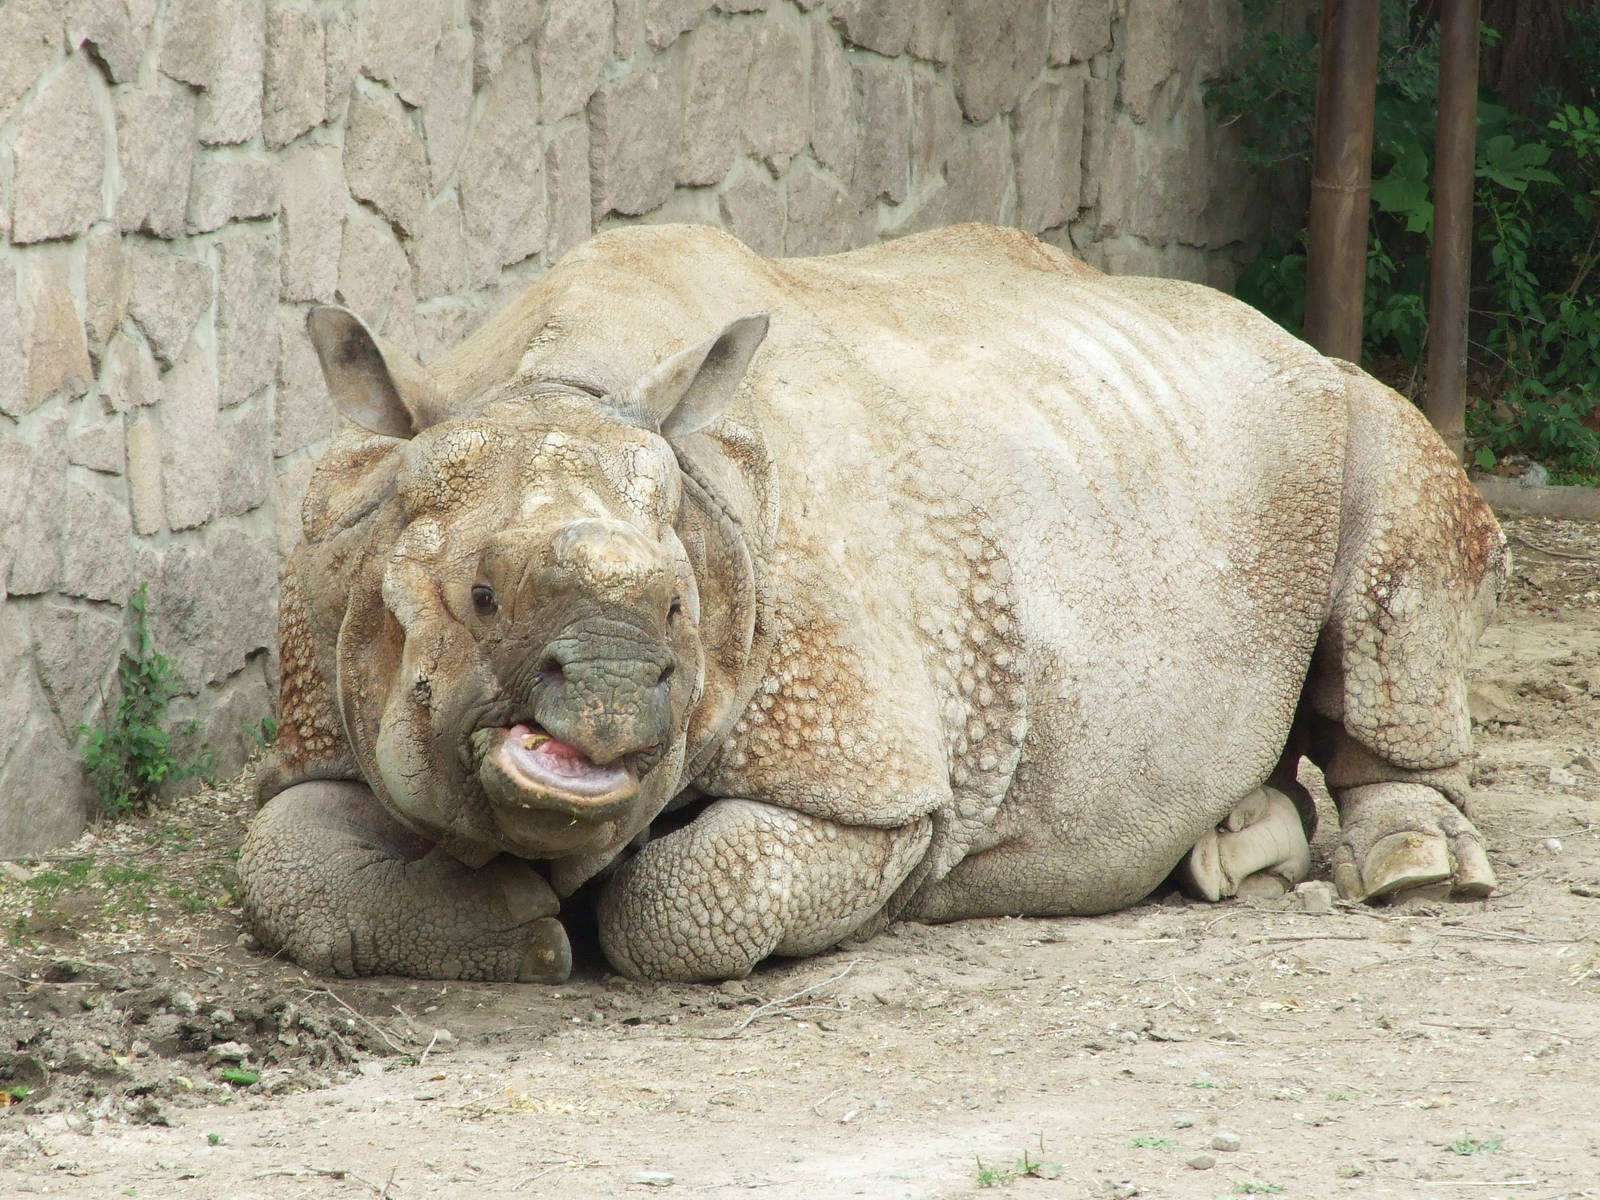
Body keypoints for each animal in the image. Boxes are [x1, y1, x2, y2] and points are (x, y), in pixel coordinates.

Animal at [239, 224, 1505, 984]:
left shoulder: (875, 778)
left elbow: (697, 894)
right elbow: (280, 857)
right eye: (479, 594)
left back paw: (1414, 873)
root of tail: (1273, 328)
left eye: (678, 615)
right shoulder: (319, 696)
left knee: (1392, 509)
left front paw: (570, 917)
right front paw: (513, 925)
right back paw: (1228, 854)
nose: (608, 704)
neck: (553, 381)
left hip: (1339, 407)